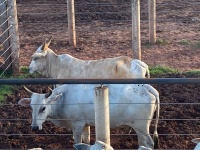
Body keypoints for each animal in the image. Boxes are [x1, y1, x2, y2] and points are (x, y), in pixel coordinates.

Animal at [18, 84, 159, 148]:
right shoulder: (86, 125)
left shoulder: (77, 124)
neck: (63, 99)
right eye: (31, 107)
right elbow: (86, 141)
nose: (34, 127)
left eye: (43, 108)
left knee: (150, 142)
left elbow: (77, 141)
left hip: (141, 126)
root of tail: (147, 87)